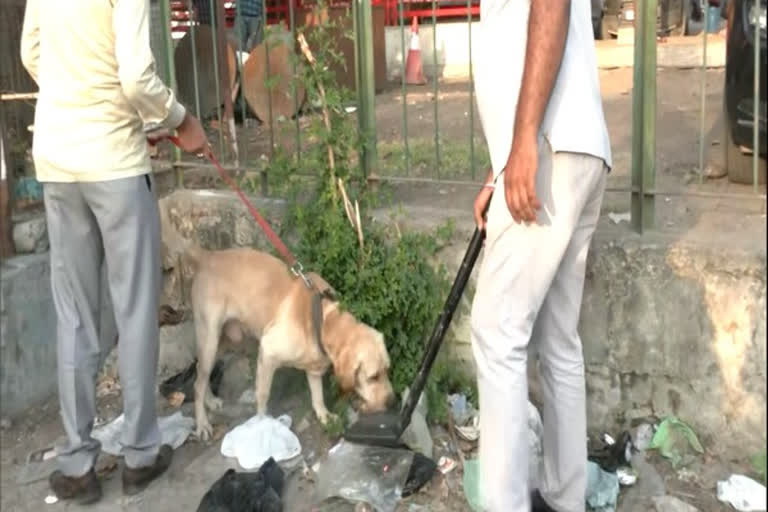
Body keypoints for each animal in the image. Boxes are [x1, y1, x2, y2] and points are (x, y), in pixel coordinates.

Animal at [186, 247, 396, 440]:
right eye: (373, 377)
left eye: (387, 370)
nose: (391, 402)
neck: (323, 320)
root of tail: (206, 256)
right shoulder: (267, 352)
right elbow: (263, 396)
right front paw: (262, 427)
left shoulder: (314, 368)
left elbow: (318, 397)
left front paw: (324, 416)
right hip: (210, 339)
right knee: (198, 383)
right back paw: (202, 423)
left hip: (227, 341)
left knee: (199, 372)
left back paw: (210, 401)